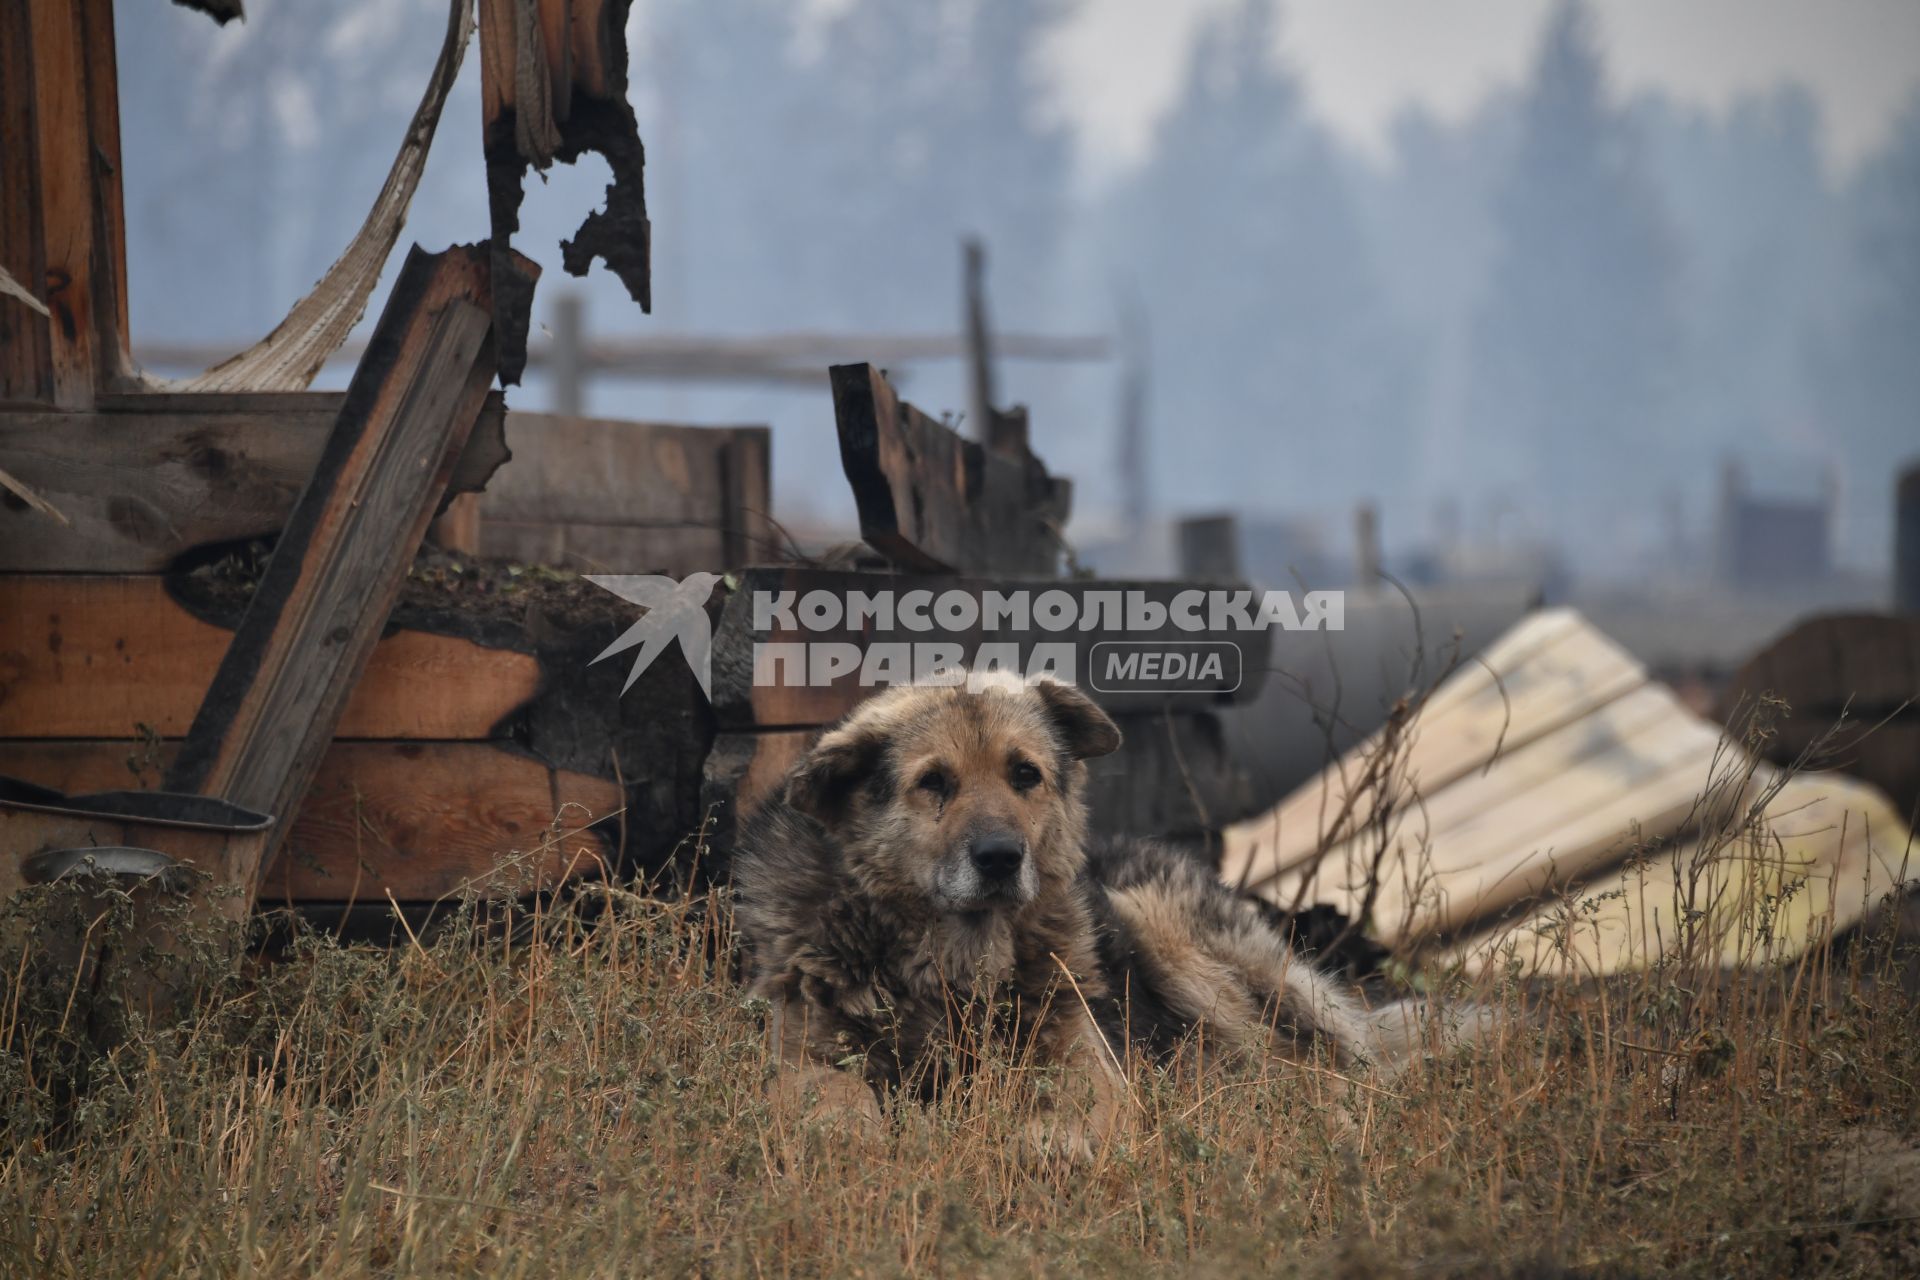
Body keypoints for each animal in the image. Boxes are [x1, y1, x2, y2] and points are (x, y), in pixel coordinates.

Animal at [733, 675, 1466, 1159]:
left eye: (1024, 774)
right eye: (933, 782)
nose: (1000, 858)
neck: (955, 963)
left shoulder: (1082, 1055)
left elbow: (1073, 1107)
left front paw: (1050, 1146)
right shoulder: (800, 1057)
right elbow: (832, 1101)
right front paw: (854, 1140)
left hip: (1171, 935)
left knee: (1319, 1068)